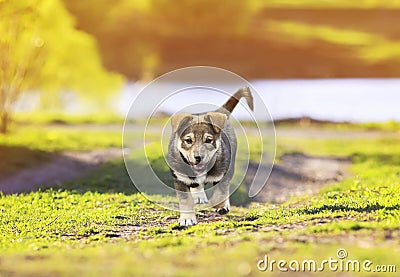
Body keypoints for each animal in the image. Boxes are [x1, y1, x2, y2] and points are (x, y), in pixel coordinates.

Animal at [167, 87, 255, 225]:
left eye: (208, 140)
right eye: (188, 140)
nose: (198, 157)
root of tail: (219, 111)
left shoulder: (223, 173)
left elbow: (221, 192)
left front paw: (220, 205)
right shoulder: (180, 178)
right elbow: (185, 200)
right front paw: (187, 218)